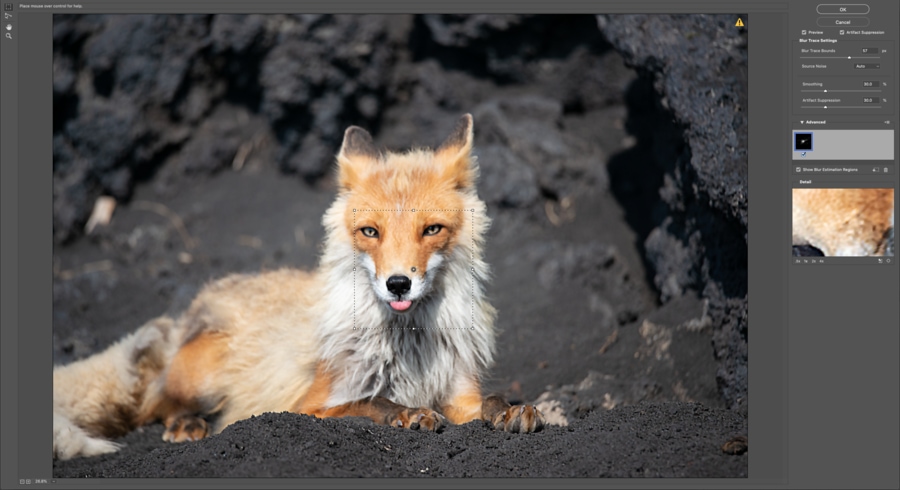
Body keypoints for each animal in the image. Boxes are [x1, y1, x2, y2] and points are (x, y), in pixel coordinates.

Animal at [52, 114, 544, 460]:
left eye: (432, 229)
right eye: (370, 232)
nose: (398, 284)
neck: (409, 348)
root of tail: (199, 307)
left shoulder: (460, 393)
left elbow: (489, 400)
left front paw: (512, 409)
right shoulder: (308, 405)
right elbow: (369, 402)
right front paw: (405, 413)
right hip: (201, 380)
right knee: (155, 404)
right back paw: (186, 425)